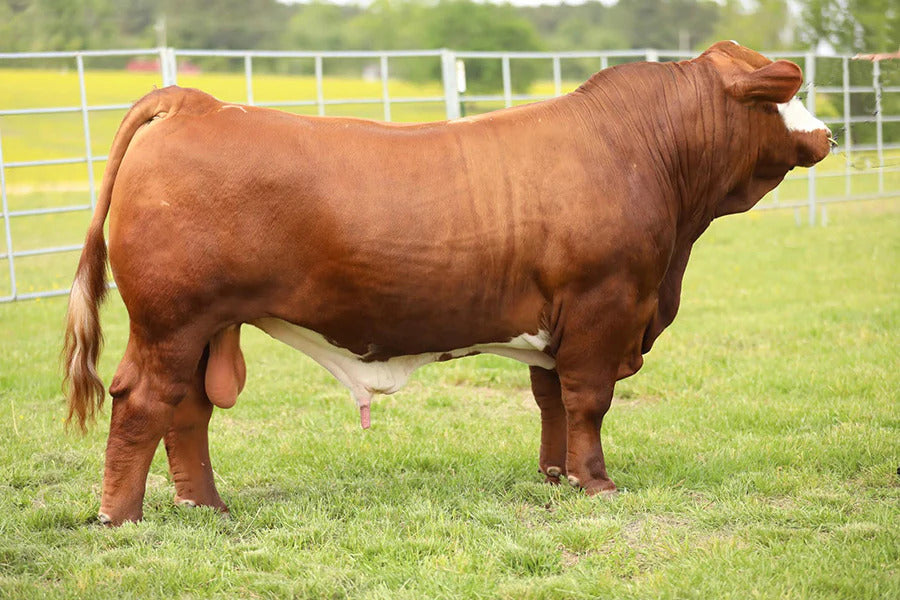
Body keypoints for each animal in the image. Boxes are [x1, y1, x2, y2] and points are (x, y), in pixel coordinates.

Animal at [63, 42, 833, 525]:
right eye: (782, 96)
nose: (826, 135)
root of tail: (199, 102)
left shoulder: (557, 324)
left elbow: (551, 401)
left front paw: (555, 476)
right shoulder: (603, 307)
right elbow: (588, 401)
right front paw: (597, 483)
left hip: (204, 328)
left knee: (188, 411)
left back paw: (207, 506)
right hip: (170, 321)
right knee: (143, 404)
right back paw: (120, 518)